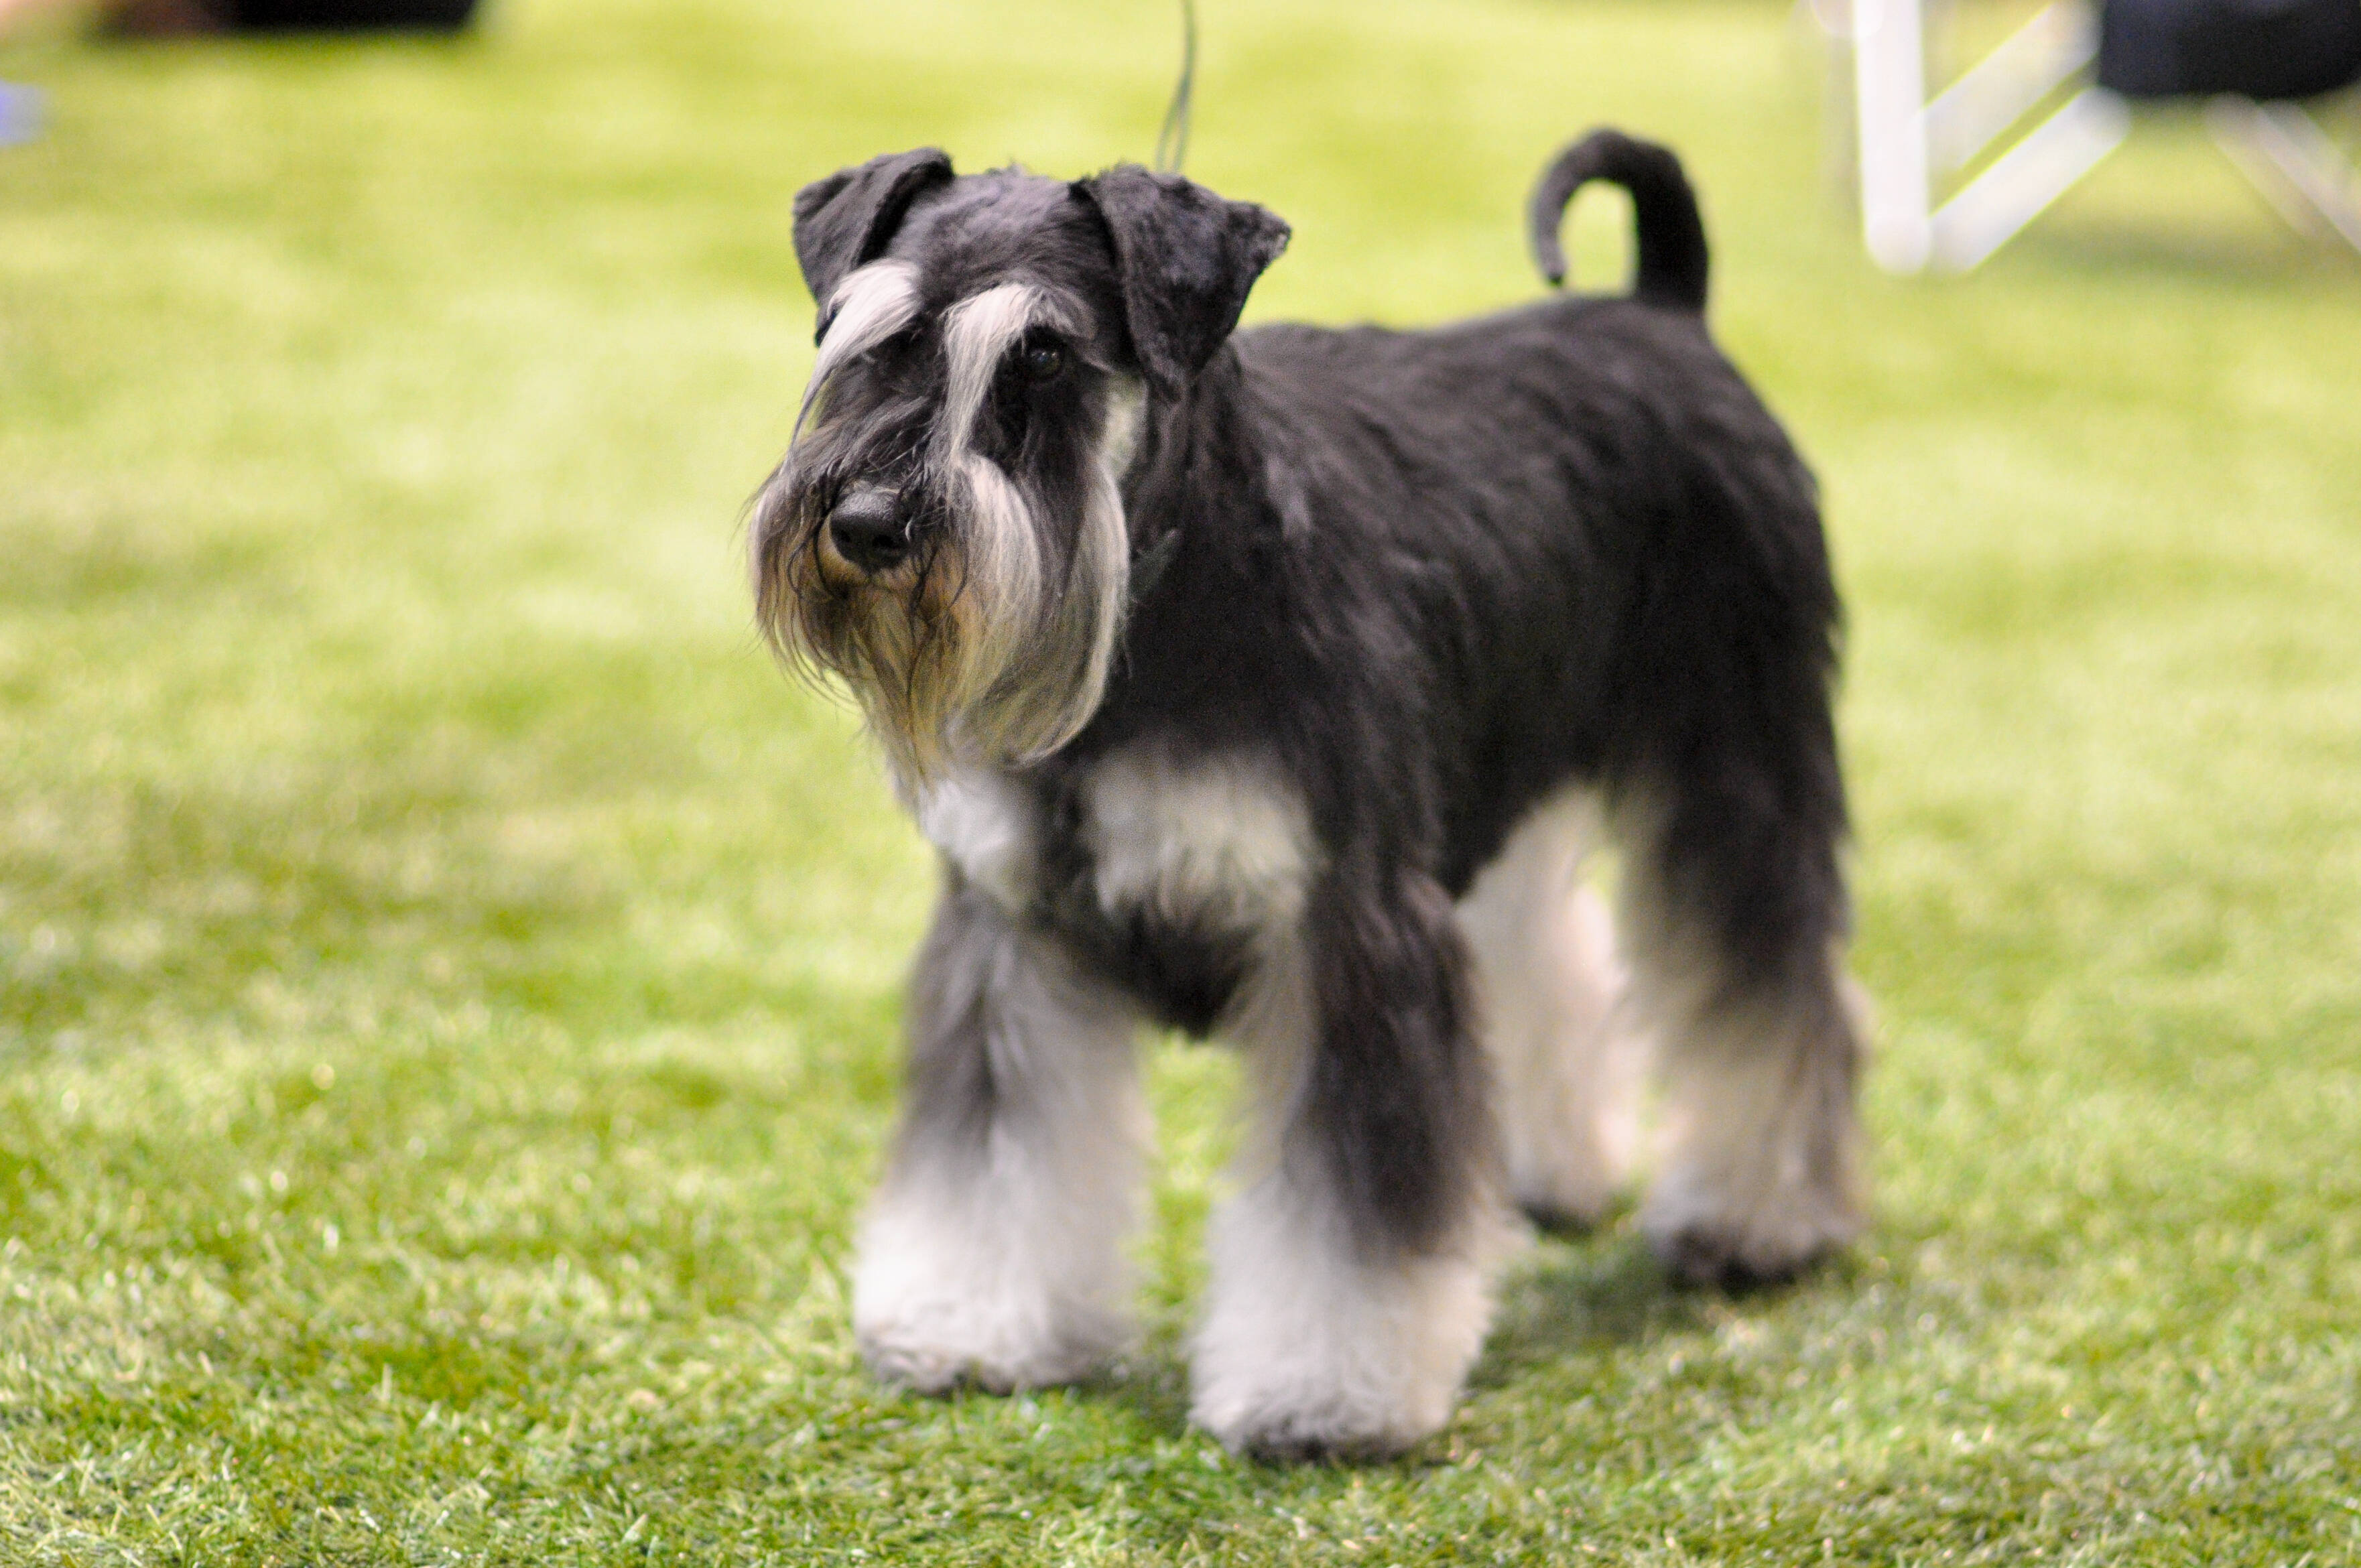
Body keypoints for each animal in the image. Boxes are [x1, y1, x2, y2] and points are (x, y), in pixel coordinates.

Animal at [751, 131, 1860, 1454]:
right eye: (868, 341)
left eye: (1045, 357)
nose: (869, 526)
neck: (1155, 603)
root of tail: (1662, 313)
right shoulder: (1006, 934)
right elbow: (992, 1163)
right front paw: (969, 1324)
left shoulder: (1347, 928)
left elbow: (1349, 1209)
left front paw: (1325, 1395)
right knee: (1552, 946)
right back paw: (1546, 1173)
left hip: (1736, 771)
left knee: (1768, 992)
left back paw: (1755, 1222)